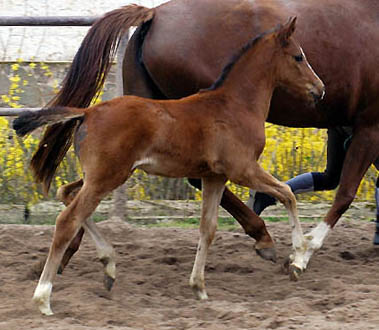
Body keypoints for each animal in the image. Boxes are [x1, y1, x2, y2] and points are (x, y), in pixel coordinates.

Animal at [14, 17, 324, 314]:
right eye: (298, 56)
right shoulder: (243, 169)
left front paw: (199, 287)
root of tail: (87, 112)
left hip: (105, 175)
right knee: (67, 220)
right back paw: (43, 299)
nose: (319, 89)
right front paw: (297, 259)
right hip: (106, 177)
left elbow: (208, 228)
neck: (235, 105)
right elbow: (287, 193)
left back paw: (109, 265)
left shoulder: (215, 177)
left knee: (66, 194)